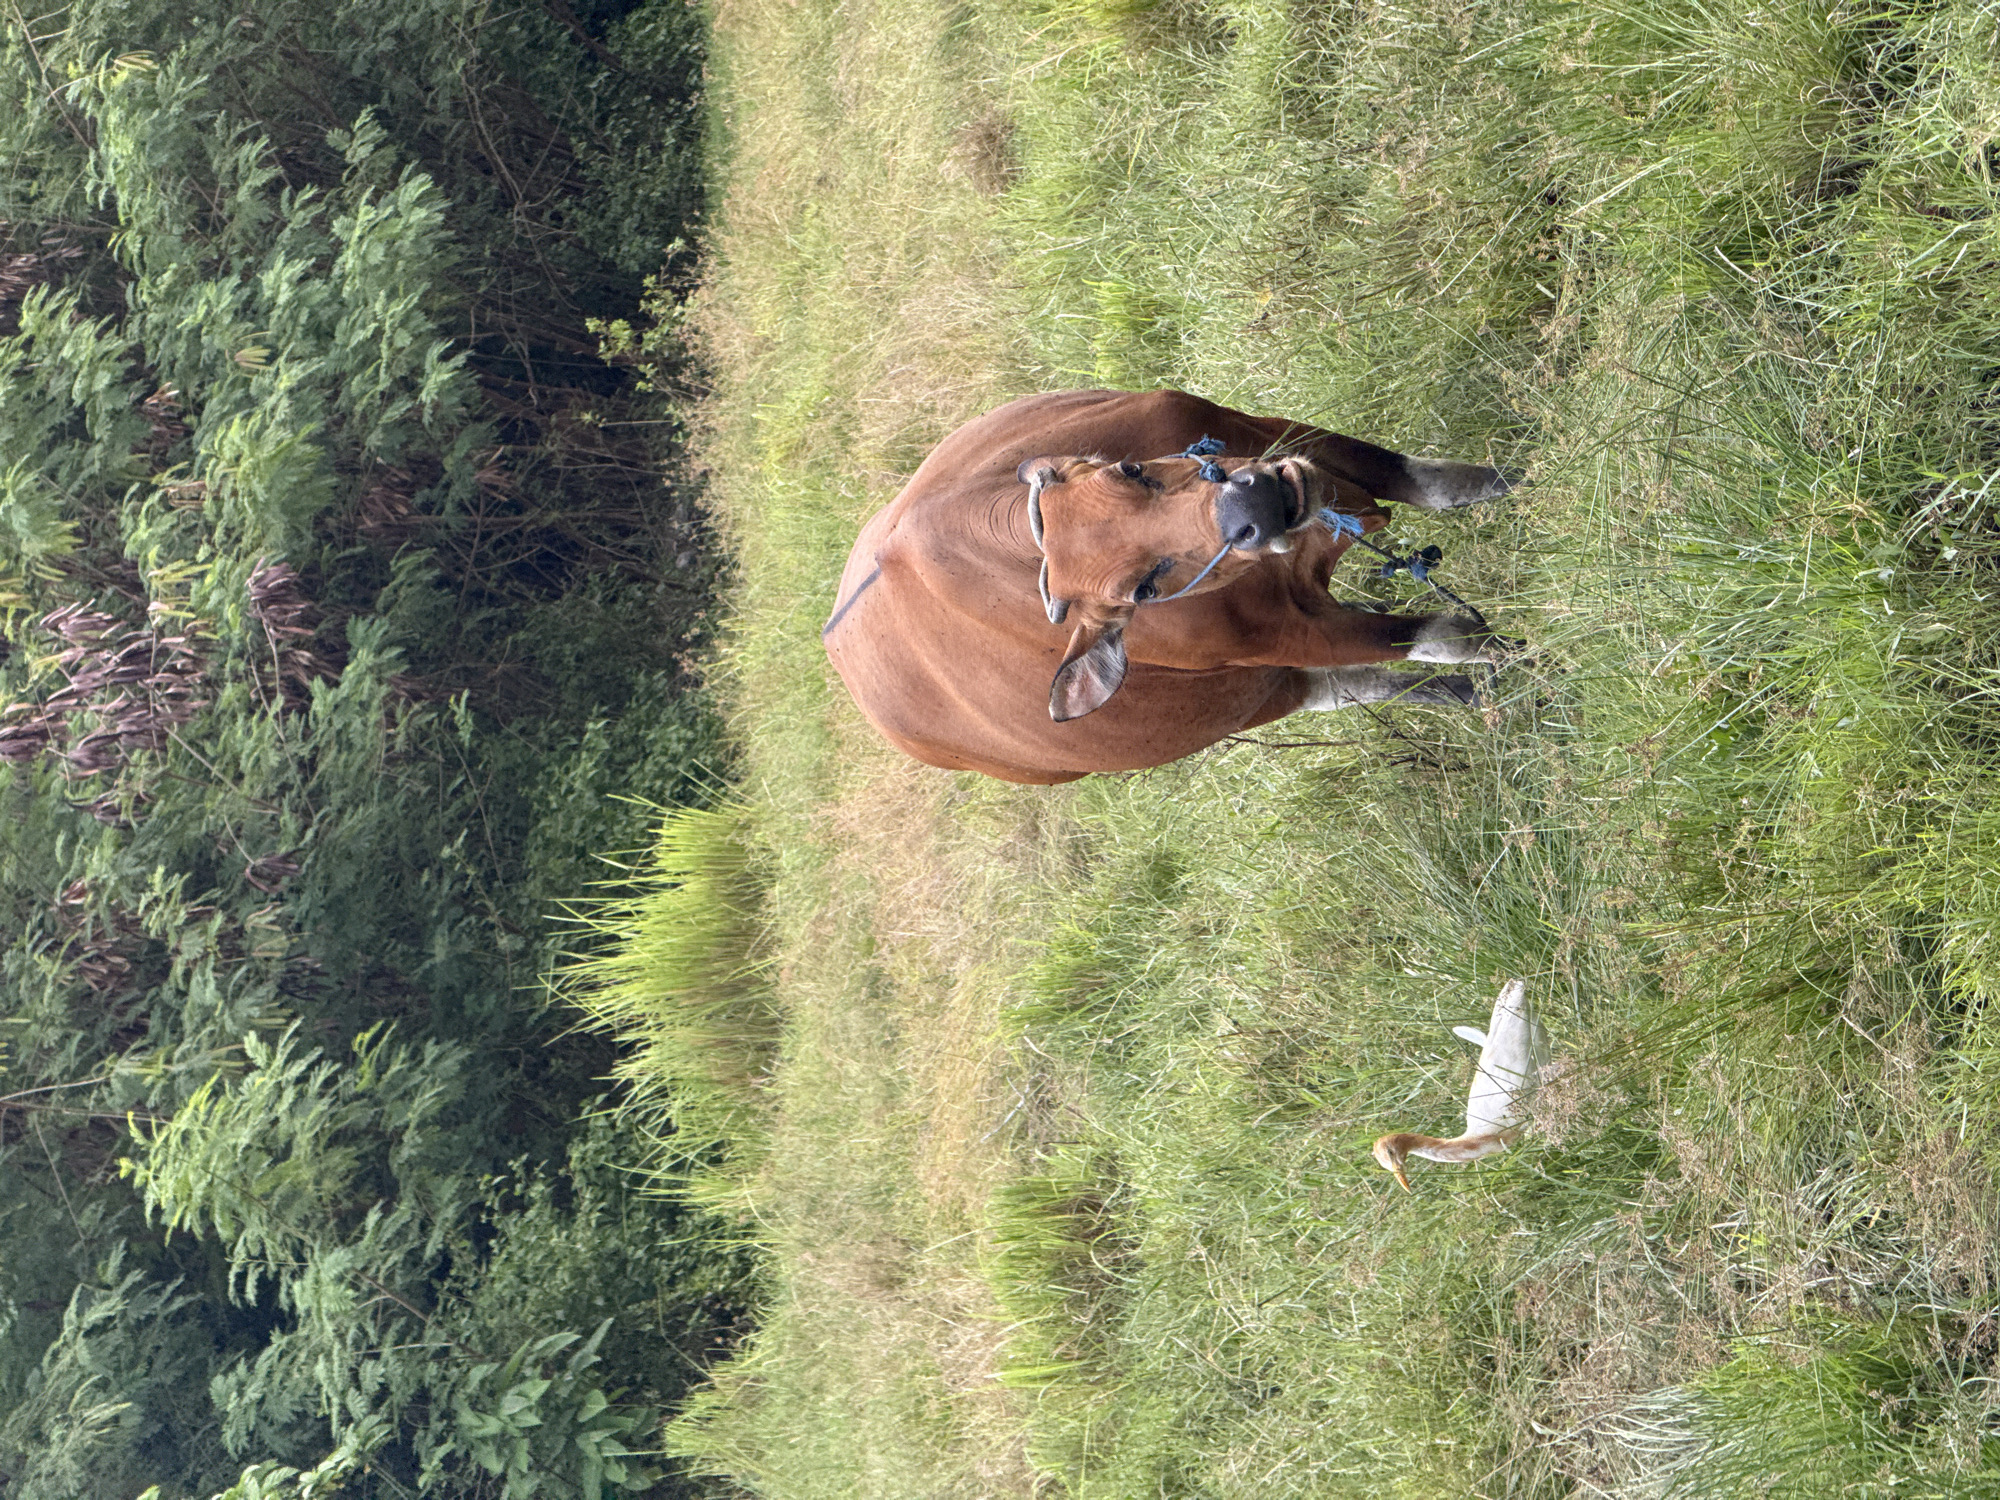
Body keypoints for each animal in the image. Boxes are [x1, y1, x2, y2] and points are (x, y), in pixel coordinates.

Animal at [822, 388, 1515, 785]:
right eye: (1142, 593)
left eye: (1133, 469)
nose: (1254, 507)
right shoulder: (1292, 634)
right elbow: (1445, 635)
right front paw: (1523, 663)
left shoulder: (1275, 437)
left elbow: (1425, 480)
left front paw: (1518, 470)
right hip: (1260, 695)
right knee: (1347, 688)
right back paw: (1469, 694)